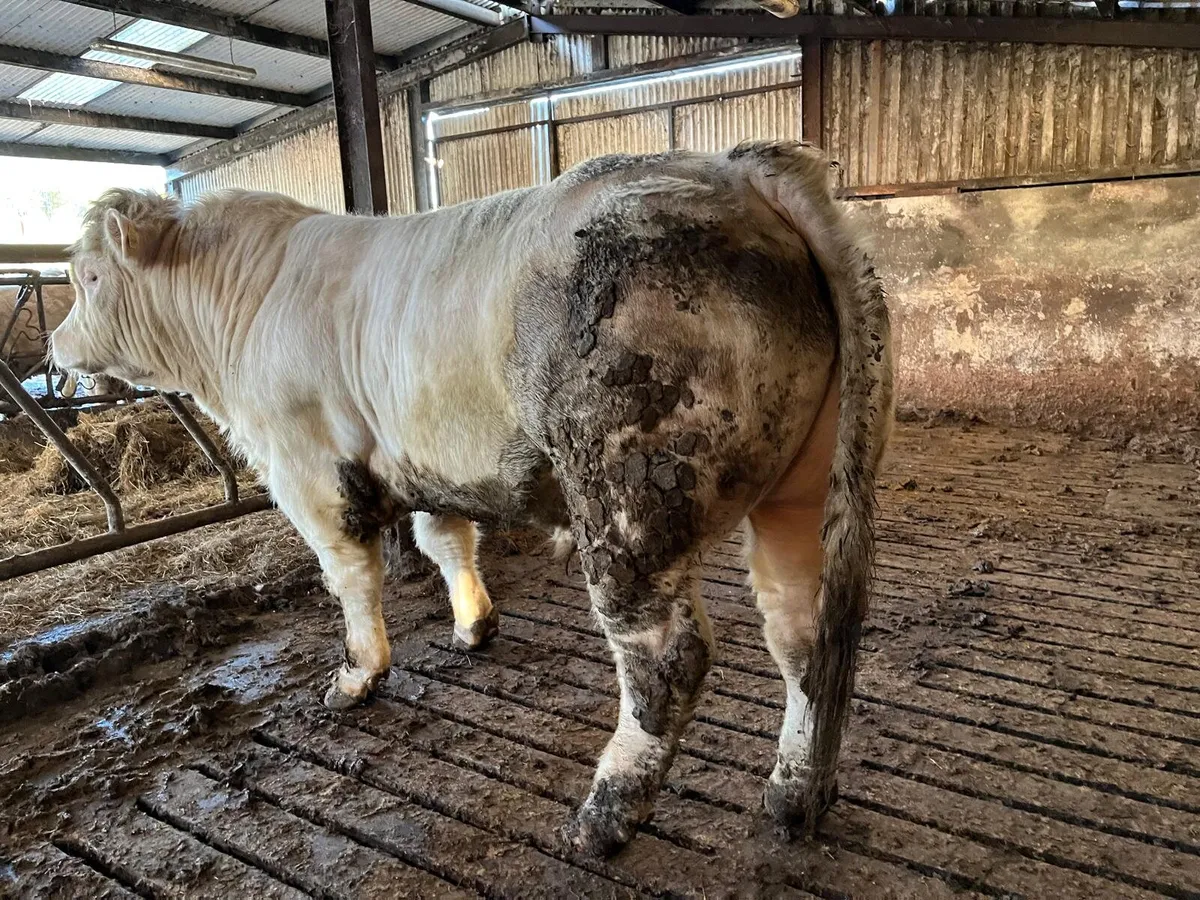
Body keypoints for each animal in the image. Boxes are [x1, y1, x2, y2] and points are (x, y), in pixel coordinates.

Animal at [51, 141, 893, 855]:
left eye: (88, 277)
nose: (56, 346)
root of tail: (732, 169)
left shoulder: (308, 467)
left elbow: (351, 577)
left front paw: (357, 676)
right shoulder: (425, 456)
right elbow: (445, 539)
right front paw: (472, 623)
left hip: (627, 504)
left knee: (666, 657)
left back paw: (604, 816)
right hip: (803, 491)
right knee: (804, 635)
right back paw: (794, 796)